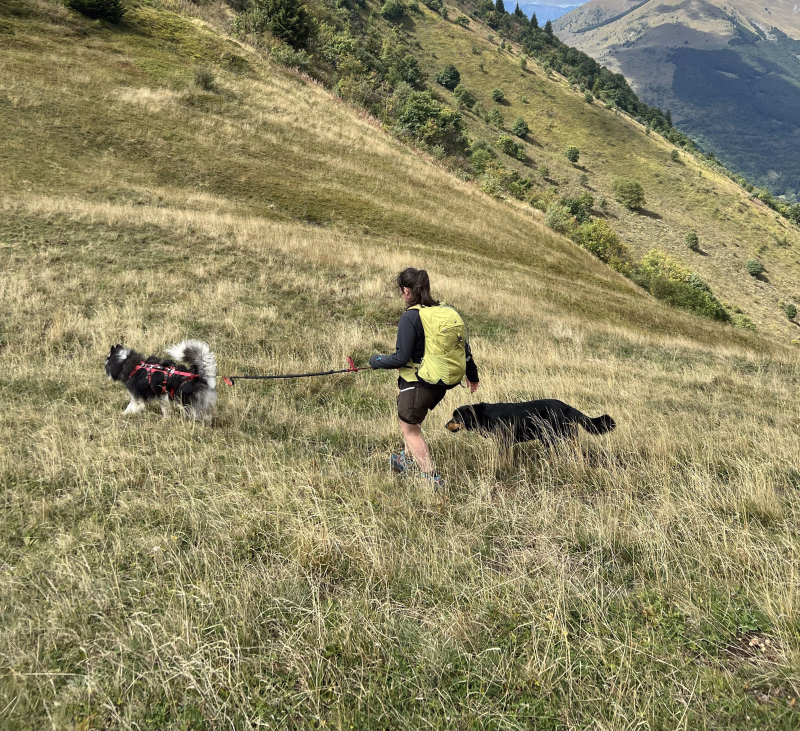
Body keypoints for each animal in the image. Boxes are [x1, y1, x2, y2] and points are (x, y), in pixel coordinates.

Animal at [446, 399, 615, 446]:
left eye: (456, 417)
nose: (445, 425)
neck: (483, 414)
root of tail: (567, 407)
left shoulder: (505, 441)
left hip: (552, 437)